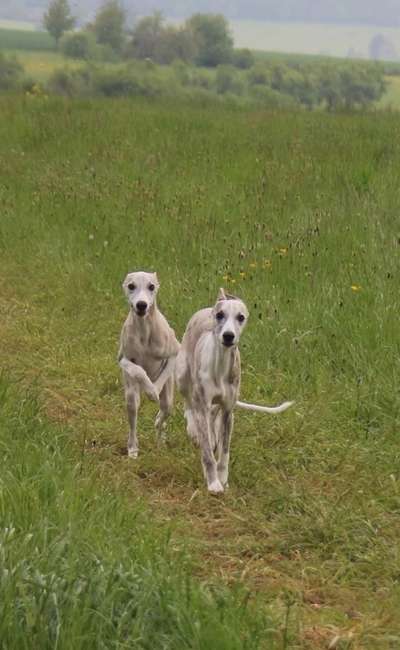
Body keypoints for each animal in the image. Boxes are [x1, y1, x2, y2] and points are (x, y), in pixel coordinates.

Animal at [119, 270, 180, 458]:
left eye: (151, 286)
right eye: (131, 286)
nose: (141, 305)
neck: (144, 330)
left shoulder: (175, 351)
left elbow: (162, 375)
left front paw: (153, 391)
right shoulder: (123, 360)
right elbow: (137, 370)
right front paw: (149, 389)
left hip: (168, 398)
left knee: (163, 414)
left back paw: (161, 436)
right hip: (131, 395)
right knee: (133, 417)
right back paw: (132, 448)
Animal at [177, 288, 292, 492]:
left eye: (241, 317)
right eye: (220, 315)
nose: (228, 336)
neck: (220, 364)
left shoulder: (228, 412)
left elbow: (224, 451)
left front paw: (222, 478)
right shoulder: (202, 405)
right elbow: (207, 453)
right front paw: (213, 483)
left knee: (213, 420)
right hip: (182, 376)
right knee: (189, 405)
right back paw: (193, 429)